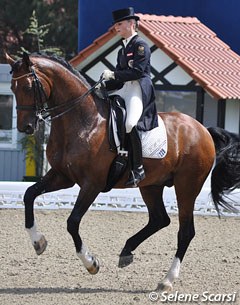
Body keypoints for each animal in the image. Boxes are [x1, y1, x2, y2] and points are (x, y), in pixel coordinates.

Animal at [5, 52, 236, 290]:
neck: (84, 121)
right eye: (12, 87)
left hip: (186, 188)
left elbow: (72, 222)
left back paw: (167, 280)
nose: (26, 127)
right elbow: (29, 195)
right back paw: (127, 251)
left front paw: (91, 263)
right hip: (151, 185)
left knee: (185, 232)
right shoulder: (62, 176)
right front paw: (38, 242)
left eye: (29, 86)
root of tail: (203, 129)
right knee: (159, 219)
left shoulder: (91, 184)